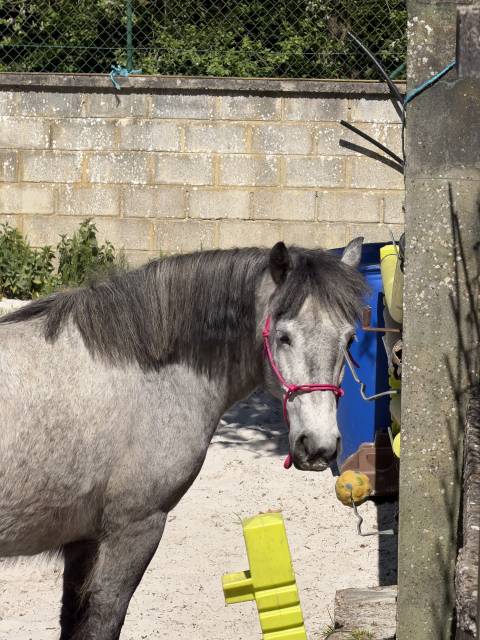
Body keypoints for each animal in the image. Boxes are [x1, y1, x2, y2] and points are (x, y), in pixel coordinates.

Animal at [0, 238, 365, 639]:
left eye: (349, 338)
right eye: (284, 336)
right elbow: (102, 621)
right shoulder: (132, 531)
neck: (138, 375)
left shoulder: (82, 540)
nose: (318, 446)